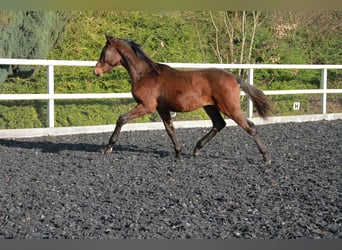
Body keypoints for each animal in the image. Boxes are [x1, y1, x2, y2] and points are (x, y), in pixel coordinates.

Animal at [93, 35, 272, 164]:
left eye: (103, 53)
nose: (96, 71)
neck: (145, 74)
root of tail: (233, 77)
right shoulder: (162, 108)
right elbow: (170, 129)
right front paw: (178, 153)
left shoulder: (146, 106)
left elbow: (121, 119)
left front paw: (108, 147)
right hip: (210, 107)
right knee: (219, 124)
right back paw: (197, 149)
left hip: (230, 108)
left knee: (250, 126)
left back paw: (266, 157)